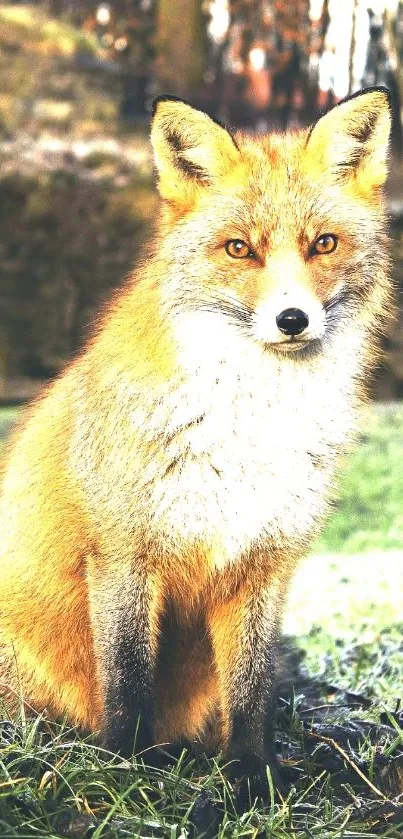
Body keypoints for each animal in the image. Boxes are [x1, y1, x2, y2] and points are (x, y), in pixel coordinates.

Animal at [0, 90, 394, 788]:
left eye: (323, 244)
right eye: (239, 249)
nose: (292, 319)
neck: (251, 426)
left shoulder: (265, 564)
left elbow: (251, 691)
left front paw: (252, 778)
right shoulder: (125, 554)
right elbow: (128, 681)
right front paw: (126, 770)